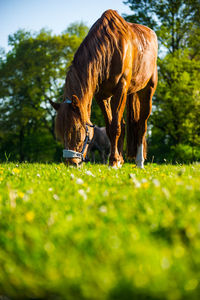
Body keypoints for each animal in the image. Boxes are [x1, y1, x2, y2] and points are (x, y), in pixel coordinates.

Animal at [50, 9, 158, 168]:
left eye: (76, 129)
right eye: (60, 131)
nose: (71, 163)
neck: (111, 49)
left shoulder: (120, 90)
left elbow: (115, 127)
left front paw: (112, 162)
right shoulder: (102, 96)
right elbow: (110, 127)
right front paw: (116, 160)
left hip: (147, 91)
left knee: (141, 126)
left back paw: (139, 162)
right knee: (124, 125)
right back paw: (121, 160)